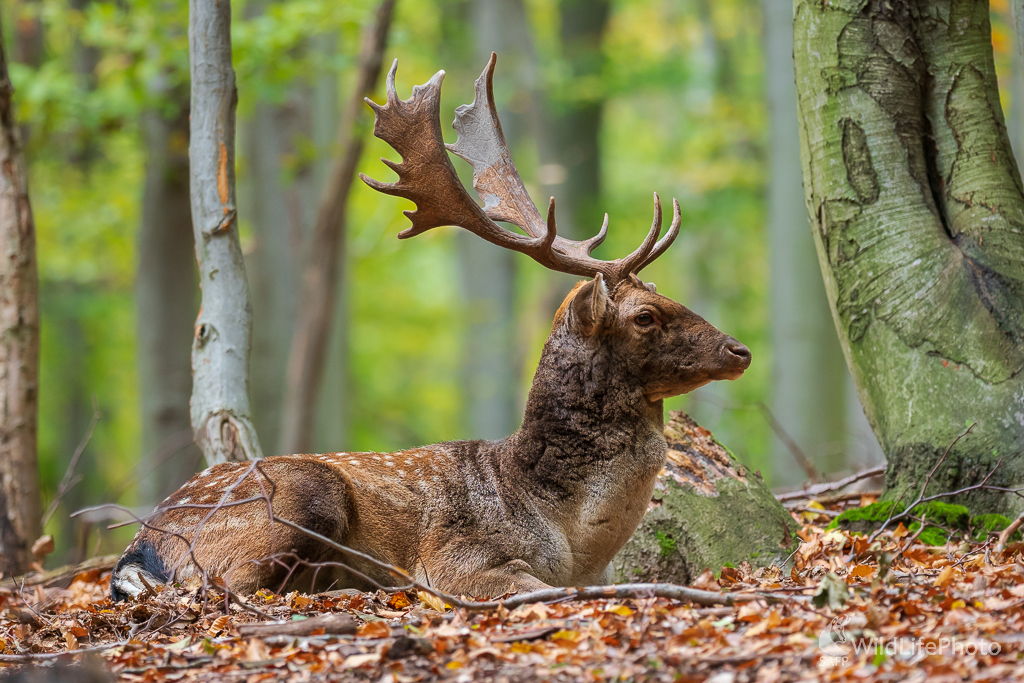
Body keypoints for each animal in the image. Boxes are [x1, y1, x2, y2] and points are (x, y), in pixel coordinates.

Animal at [110, 56, 753, 602]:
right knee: (228, 586)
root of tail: (142, 545)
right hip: (302, 494)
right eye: (645, 316)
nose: (740, 350)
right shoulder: (458, 556)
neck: (569, 535)